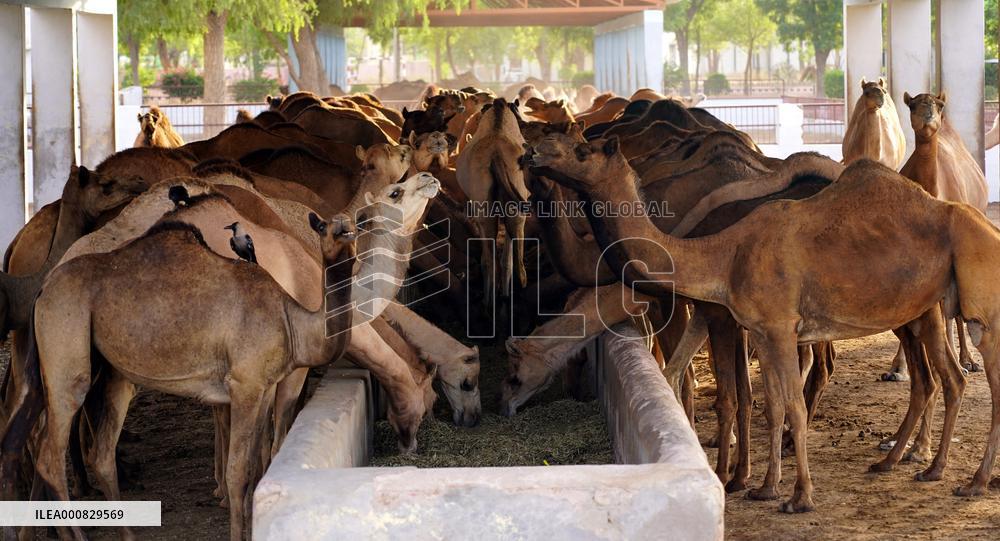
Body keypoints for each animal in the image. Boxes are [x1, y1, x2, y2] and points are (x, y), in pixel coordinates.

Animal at [0, 212, 357, 541]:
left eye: (354, 224)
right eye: (323, 227)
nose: (346, 233)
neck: (290, 320)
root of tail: (43, 290)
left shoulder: (264, 388)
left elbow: (257, 464)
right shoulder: (246, 384)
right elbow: (238, 472)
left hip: (107, 374)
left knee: (89, 451)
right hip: (66, 342)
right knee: (50, 454)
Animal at [528, 134, 1000, 512]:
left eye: (582, 149)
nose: (533, 153)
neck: (726, 253)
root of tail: (986, 224)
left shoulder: (777, 326)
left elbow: (791, 405)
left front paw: (799, 496)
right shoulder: (761, 330)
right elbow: (773, 405)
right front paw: (765, 488)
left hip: (980, 308)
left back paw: (973, 482)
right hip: (930, 309)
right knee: (948, 378)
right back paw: (924, 467)